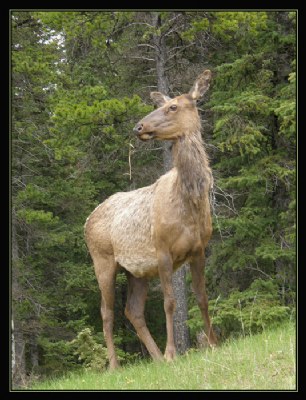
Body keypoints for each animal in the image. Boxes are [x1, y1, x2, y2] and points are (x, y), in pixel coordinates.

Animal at [84, 69, 218, 368]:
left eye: (173, 106)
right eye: (162, 104)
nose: (139, 126)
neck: (190, 204)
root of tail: (86, 221)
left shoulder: (199, 249)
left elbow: (202, 297)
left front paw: (214, 342)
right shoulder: (163, 250)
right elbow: (170, 302)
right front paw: (172, 352)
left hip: (136, 271)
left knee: (132, 310)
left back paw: (155, 358)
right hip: (103, 260)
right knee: (106, 311)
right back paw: (115, 366)